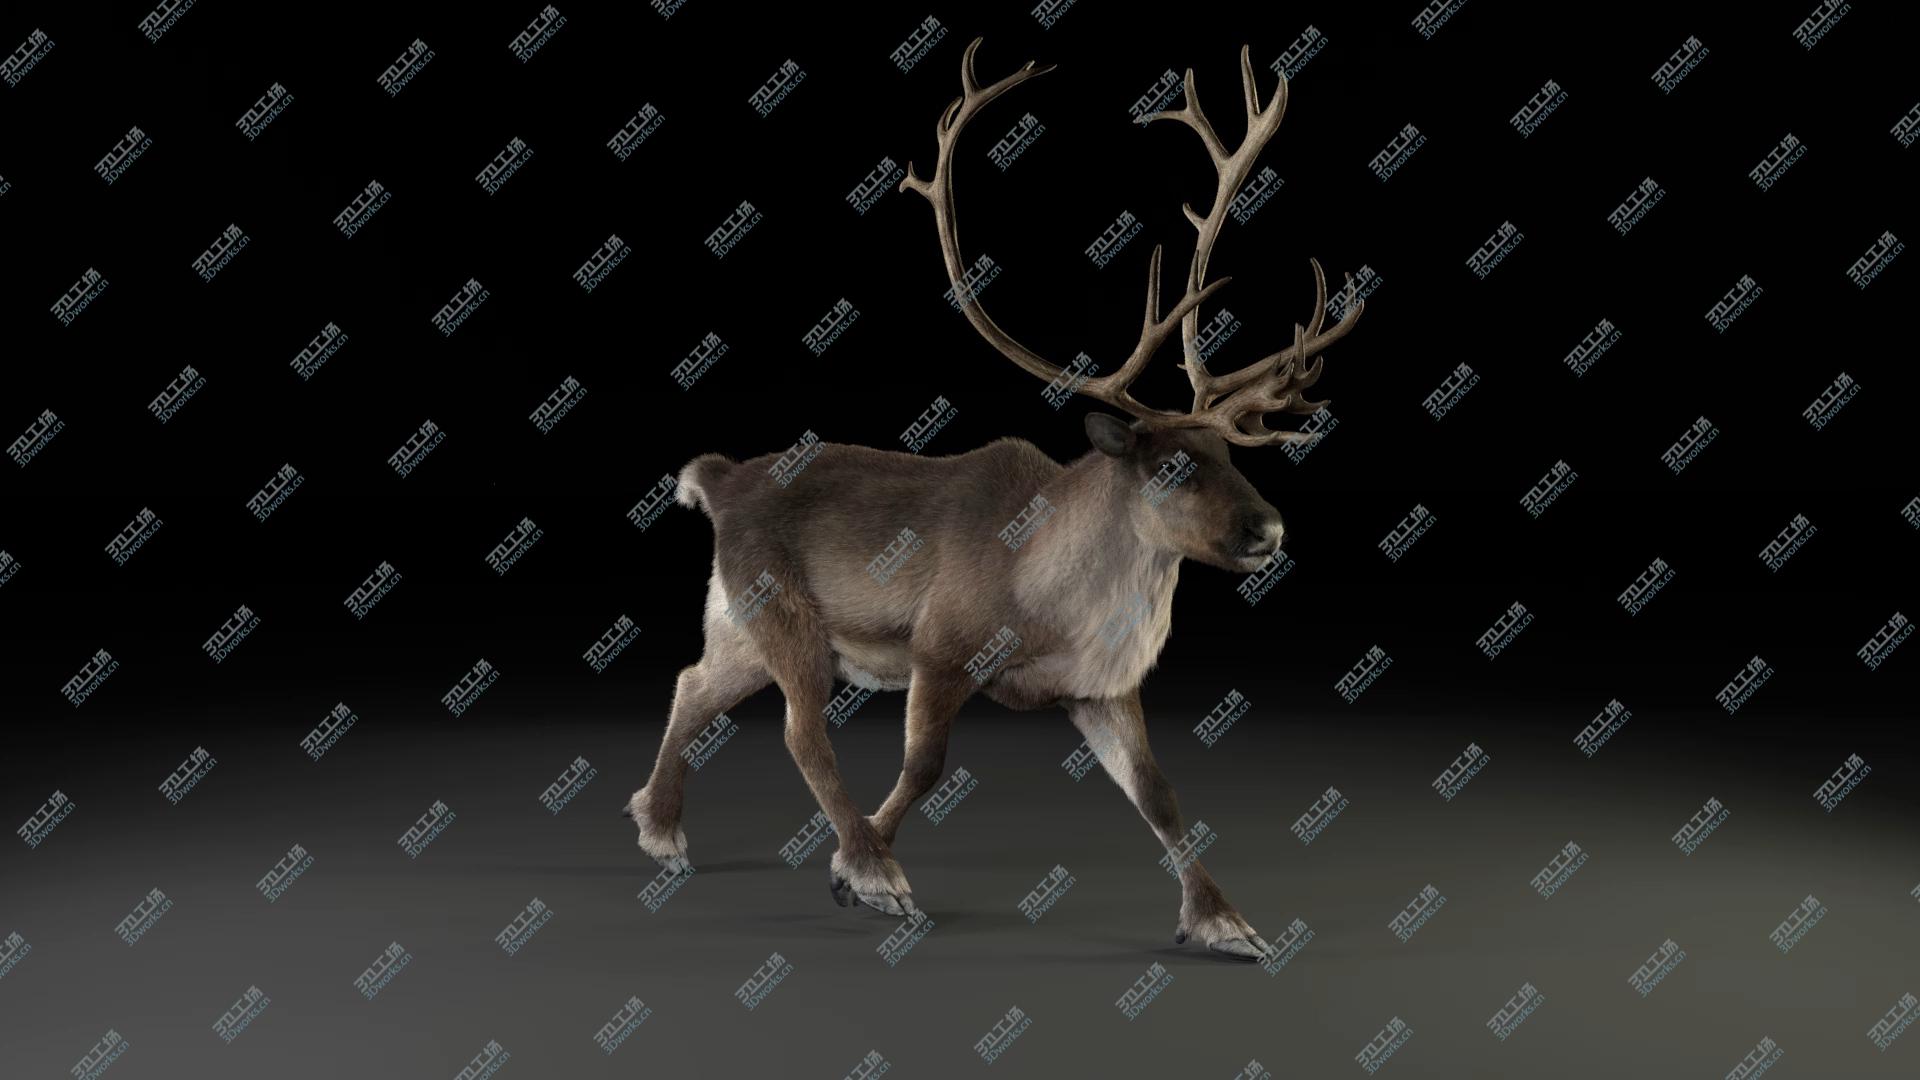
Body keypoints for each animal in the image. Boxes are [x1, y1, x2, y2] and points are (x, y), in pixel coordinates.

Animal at [624, 36, 1363, 959]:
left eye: (1230, 452)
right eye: (1170, 464)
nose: (1271, 527)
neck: (1057, 594)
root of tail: (719, 479)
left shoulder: (1101, 686)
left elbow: (1159, 793)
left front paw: (1225, 922)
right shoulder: (941, 649)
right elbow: (923, 766)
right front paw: (862, 873)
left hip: (737, 624)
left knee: (693, 681)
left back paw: (658, 826)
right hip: (780, 611)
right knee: (801, 728)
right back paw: (851, 861)